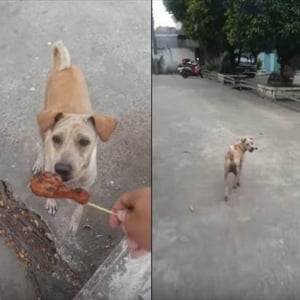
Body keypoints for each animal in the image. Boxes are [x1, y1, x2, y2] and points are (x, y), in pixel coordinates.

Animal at [32, 41, 117, 234]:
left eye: (84, 142)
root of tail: (65, 67)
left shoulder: (86, 187)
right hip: (43, 122)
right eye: (56, 139)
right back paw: (39, 161)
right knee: (40, 144)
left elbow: (79, 208)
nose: (62, 169)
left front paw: (74, 223)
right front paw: (51, 202)